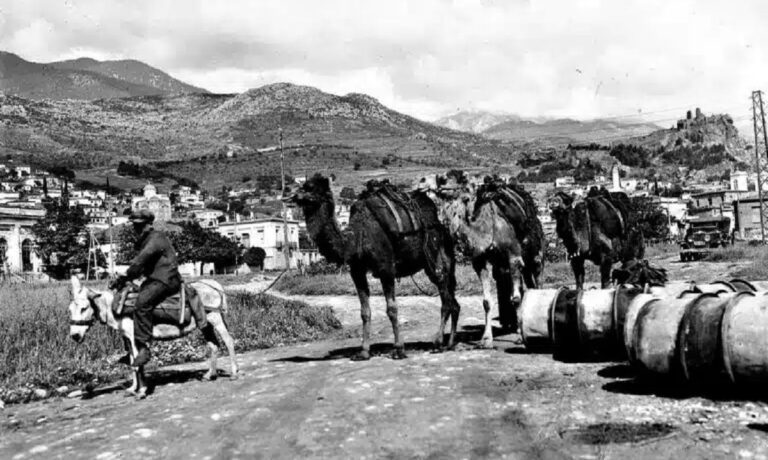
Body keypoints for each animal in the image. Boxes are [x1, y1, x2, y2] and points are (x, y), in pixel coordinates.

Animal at [69, 274, 237, 398]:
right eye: (70, 310)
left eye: (84, 308)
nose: (75, 336)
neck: (115, 308)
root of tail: (215, 284)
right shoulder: (129, 339)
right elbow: (134, 363)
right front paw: (133, 388)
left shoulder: (134, 337)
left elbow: (137, 365)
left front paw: (142, 391)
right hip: (205, 324)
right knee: (213, 345)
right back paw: (209, 375)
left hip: (215, 318)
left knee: (228, 341)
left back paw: (234, 372)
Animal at [286, 172, 456, 360]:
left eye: (309, 187)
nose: (288, 192)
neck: (356, 238)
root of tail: (441, 225)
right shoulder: (357, 271)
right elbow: (364, 312)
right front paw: (364, 351)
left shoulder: (386, 268)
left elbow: (392, 308)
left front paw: (398, 349)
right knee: (452, 299)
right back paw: (450, 343)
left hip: (433, 254)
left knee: (445, 298)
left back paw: (438, 343)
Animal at [426, 171, 528, 346]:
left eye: (443, 179)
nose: (423, 181)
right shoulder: (479, 260)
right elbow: (486, 301)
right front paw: (486, 339)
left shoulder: (513, 256)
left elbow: (515, 298)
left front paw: (521, 337)